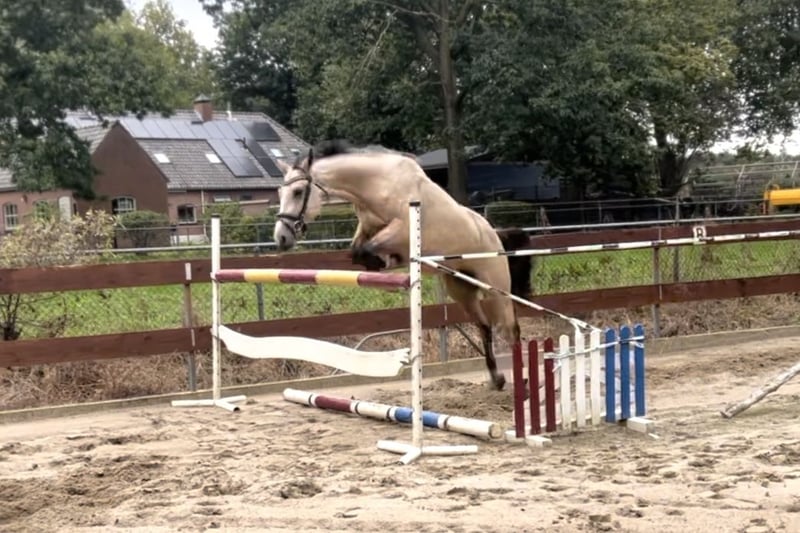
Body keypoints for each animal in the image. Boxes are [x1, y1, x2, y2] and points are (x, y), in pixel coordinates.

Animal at [272, 140, 532, 391]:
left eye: (297, 192)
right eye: (279, 192)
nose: (281, 238)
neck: (377, 184)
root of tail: (495, 234)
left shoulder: (402, 228)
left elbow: (369, 250)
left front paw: (387, 261)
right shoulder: (367, 228)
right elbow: (358, 252)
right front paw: (383, 264)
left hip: (496, 289)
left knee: (510, 328)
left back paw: (522, 380)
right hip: (461, 289)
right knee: (484, 326)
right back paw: (496, 379)